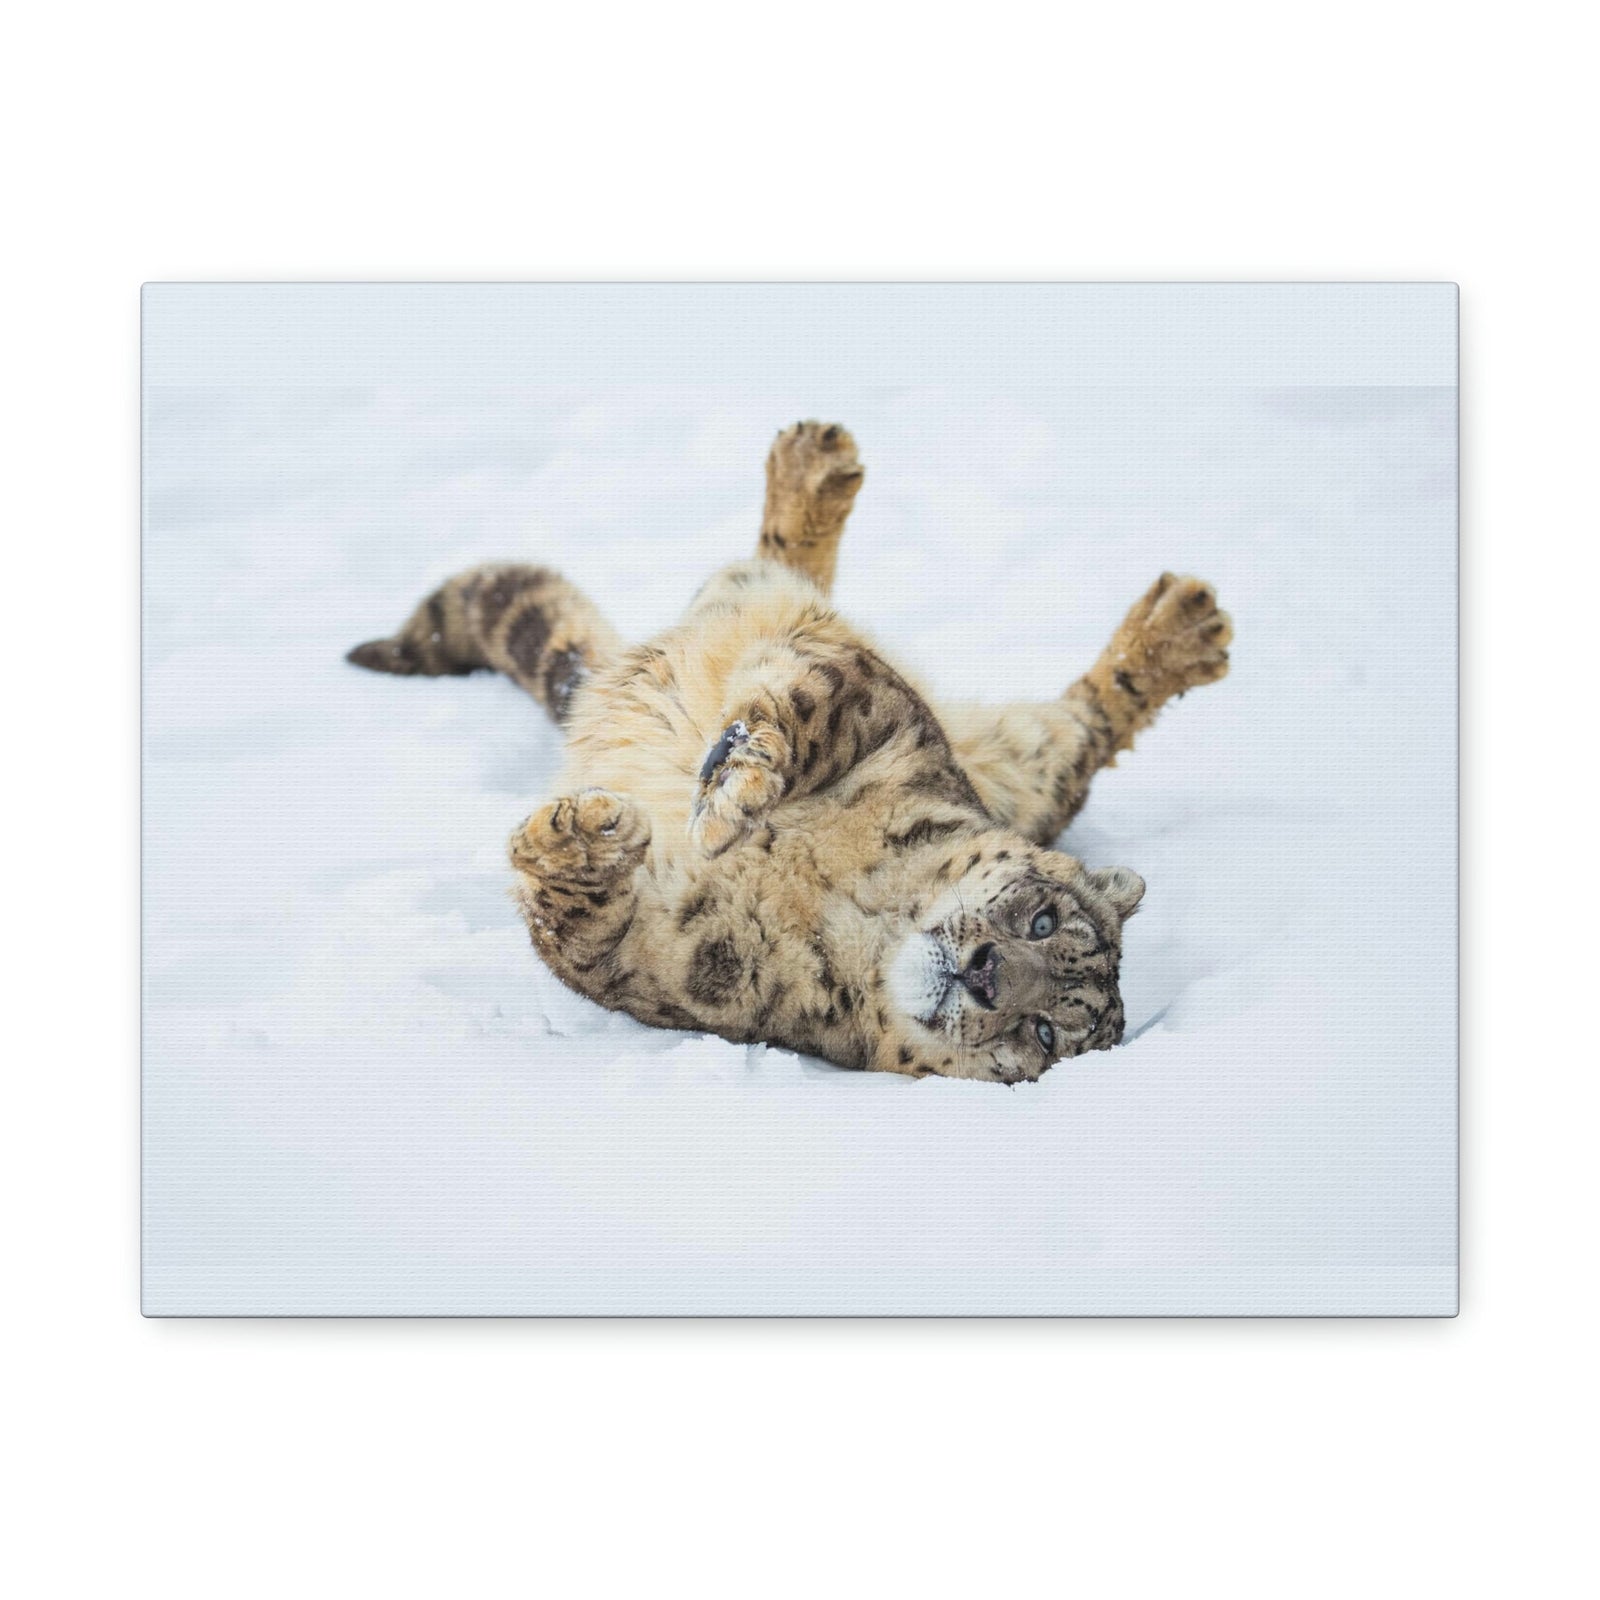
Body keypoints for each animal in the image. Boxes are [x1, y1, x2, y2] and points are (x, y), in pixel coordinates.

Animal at [348, 421, 1232, 1083]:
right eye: (1044, 919)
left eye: (1045, 1032)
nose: (985, 974)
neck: (855, 906)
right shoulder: (883, 711)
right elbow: (806, 706)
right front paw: (723, 797)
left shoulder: (671, 967)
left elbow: (582, 930)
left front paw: (596, 839)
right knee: (772, 574)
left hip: (1031, 769)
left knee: (1083, 732)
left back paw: (1185, 630)